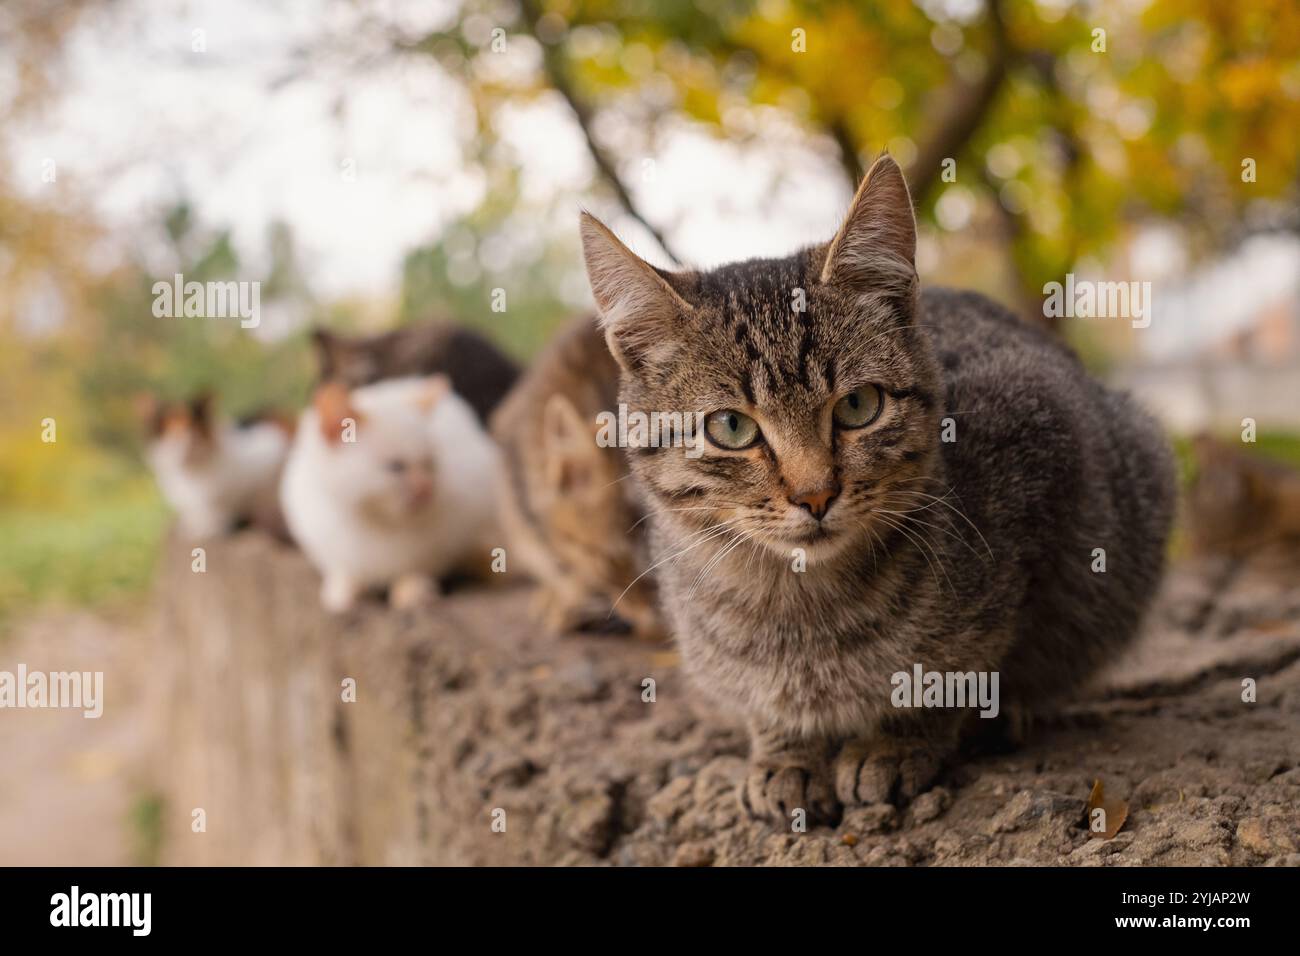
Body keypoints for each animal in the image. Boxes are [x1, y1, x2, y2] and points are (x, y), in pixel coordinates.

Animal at [279, 374, 501, 613]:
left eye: (430, 463)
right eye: (396, 467)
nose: (427, 489)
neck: (376, 524)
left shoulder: (449, 535)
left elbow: (419, 567)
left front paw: (411, 589)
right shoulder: (319, 535)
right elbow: (343, 568)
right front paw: (342, 591)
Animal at [579, 155, 1180, 822]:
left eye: (859, 406)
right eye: (731, 427)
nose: (815, 494)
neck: (800, 609)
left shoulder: (1047, 462)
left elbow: (957, 670)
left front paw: (894, 743)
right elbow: (768, 707)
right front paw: (785, 753)